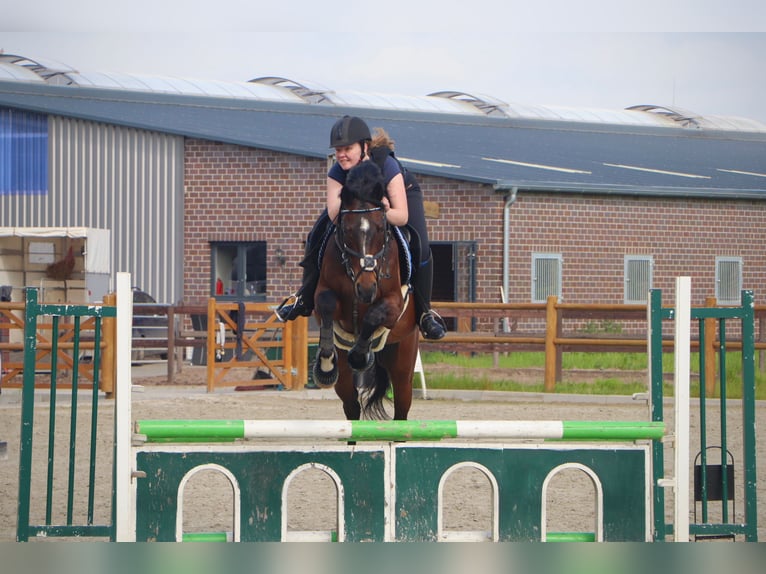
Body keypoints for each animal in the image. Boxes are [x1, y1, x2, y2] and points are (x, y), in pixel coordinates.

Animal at [312, 160, 420, 420]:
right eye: (347, 230)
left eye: (381, 228)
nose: (366, 289)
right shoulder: (322, 295)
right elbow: (327, 304)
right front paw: (325, 364)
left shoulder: (394, 303)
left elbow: (373, 315)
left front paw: (361, 356)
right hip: (345, 380)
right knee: (351, 406)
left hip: (403, 363)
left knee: (402, 409)